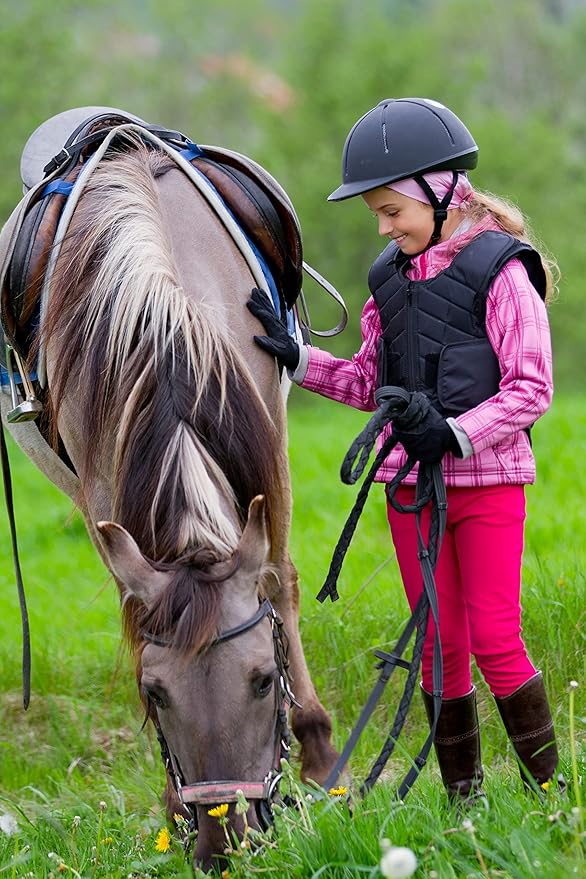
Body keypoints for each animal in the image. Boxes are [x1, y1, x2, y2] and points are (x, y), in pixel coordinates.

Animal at [2, 122, 338, 869]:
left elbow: (280, 582)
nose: (222, 844)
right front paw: (172, 810)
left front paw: (321, 758)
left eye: (262, 678)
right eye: (154, 694)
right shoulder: (101, 487)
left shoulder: (269, 453)